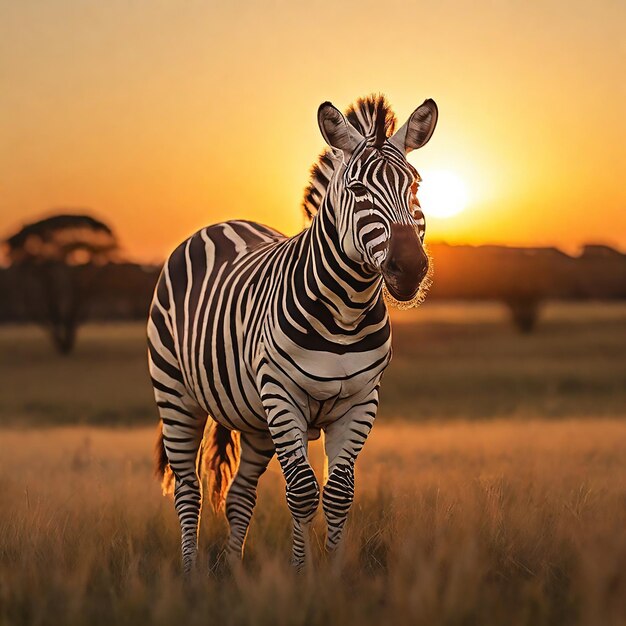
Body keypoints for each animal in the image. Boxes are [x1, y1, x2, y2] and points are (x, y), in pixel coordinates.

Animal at [148, 94, 436, 572]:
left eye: (414, 187)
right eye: (357, 190)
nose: (410, 268)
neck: (345, 312)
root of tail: (221, 224)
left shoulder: (360, 401)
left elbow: (339, 493)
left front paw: (334, 576)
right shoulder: (283, 395)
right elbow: (301, 492)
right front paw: (301, 575)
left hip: (255, 420)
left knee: (240, 495)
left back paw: (235, 573)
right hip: (177, 395)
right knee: (189, 491)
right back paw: (189, 575)